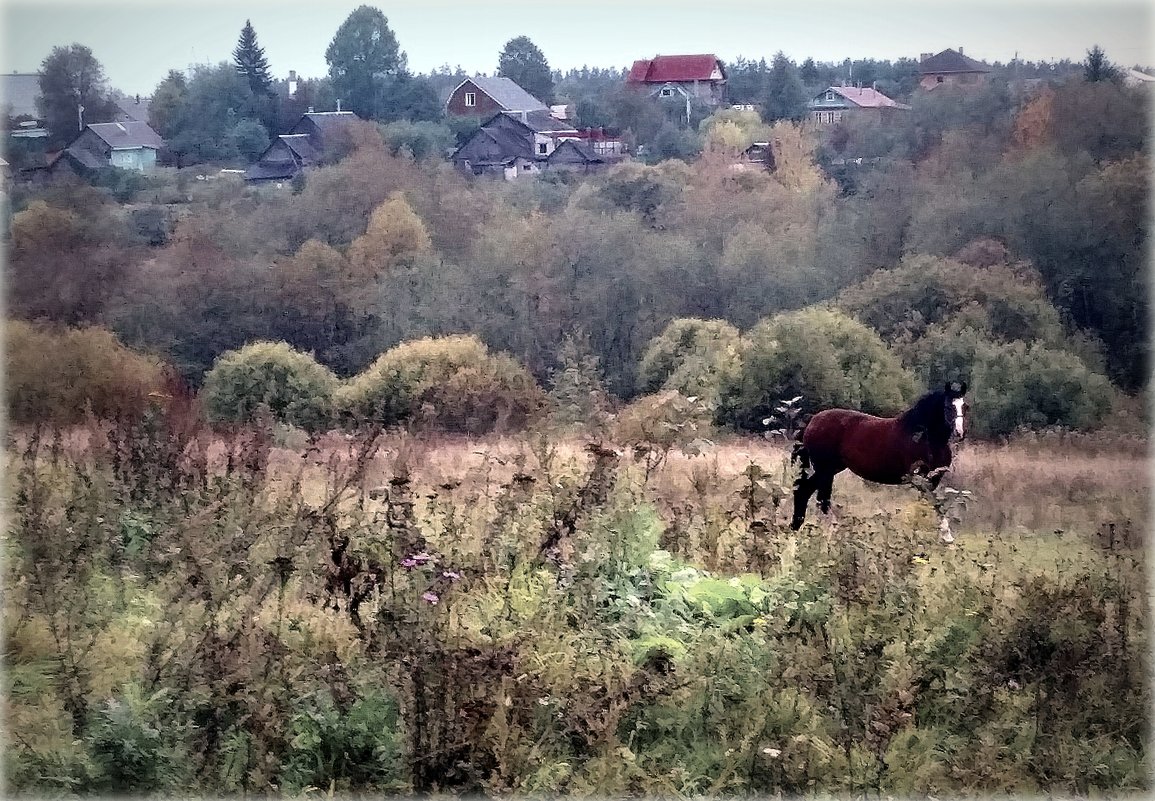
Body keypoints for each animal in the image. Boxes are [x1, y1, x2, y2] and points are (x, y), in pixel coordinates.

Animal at [790, 385, 970, 533]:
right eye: (948, 407)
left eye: (965, 406)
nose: (959, 433)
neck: (923, 437)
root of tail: (812, 420)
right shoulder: (922, 479)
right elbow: (934, 505)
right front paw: (946, 537)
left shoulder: (933, 479)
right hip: (825, 470)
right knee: (820, 499)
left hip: (830, 469)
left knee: (804, 492)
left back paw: (797, 527)